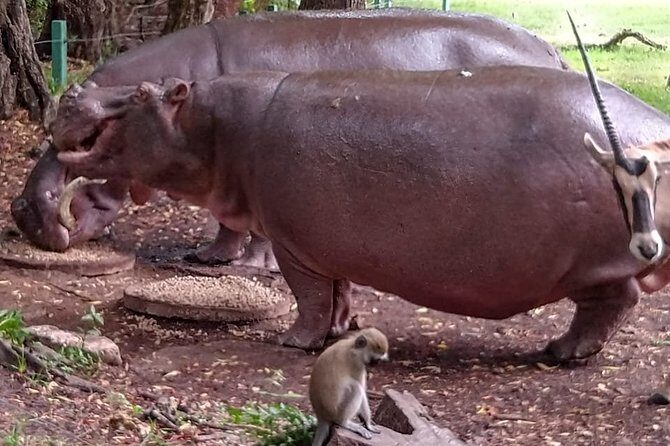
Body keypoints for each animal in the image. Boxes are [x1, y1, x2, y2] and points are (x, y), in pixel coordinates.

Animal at [11, 9, 569, 270]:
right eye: (65, 103)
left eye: (84, 141)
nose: (20, 210)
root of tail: (551, 50)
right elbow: (225, 220)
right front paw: (211, 259)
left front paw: (252, 266)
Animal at [51, 66, 670, 360]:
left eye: (141, 94)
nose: (70, 92)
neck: (212, 124)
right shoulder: (326, 243)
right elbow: (340, 292)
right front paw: (342, 332)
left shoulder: (292, 243)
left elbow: (307, 296)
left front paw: (294, 343)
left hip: (598, 262)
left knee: (615, 300)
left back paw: (562, 353)